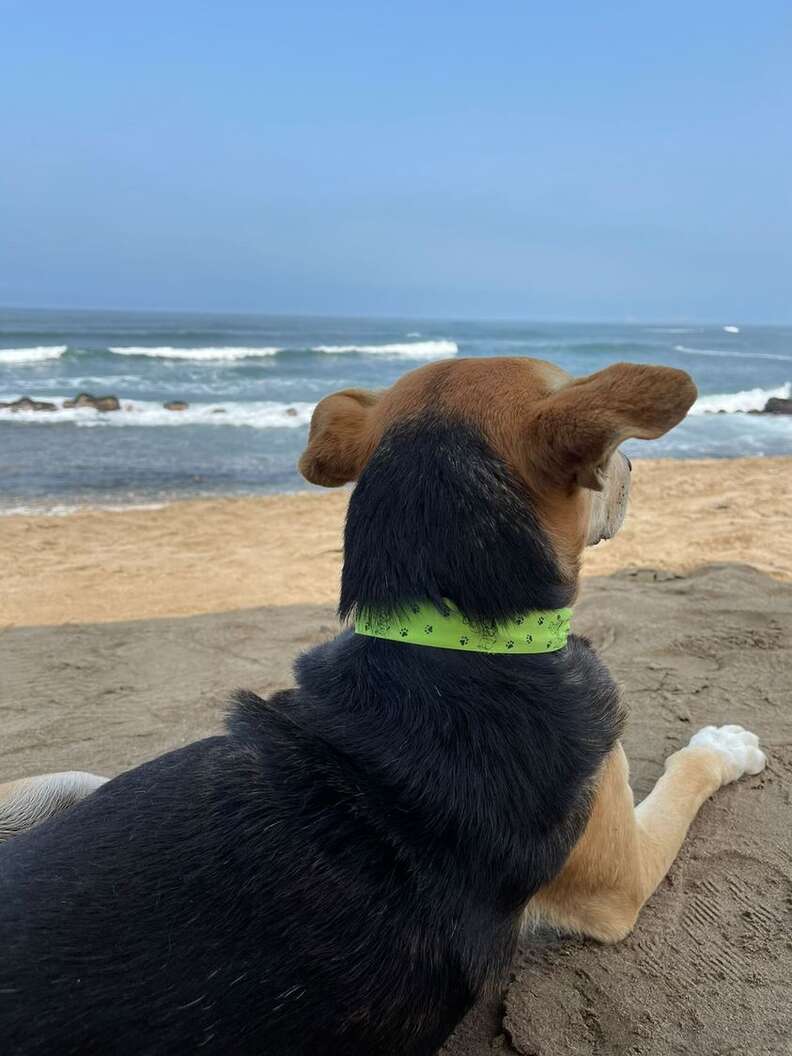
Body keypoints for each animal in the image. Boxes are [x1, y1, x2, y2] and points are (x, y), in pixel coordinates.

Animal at [0, 356, 768, 1056]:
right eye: (607, 457)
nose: (634, 472)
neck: (449, 638)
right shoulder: (620, 884)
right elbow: (685, 776)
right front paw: (725, 747)